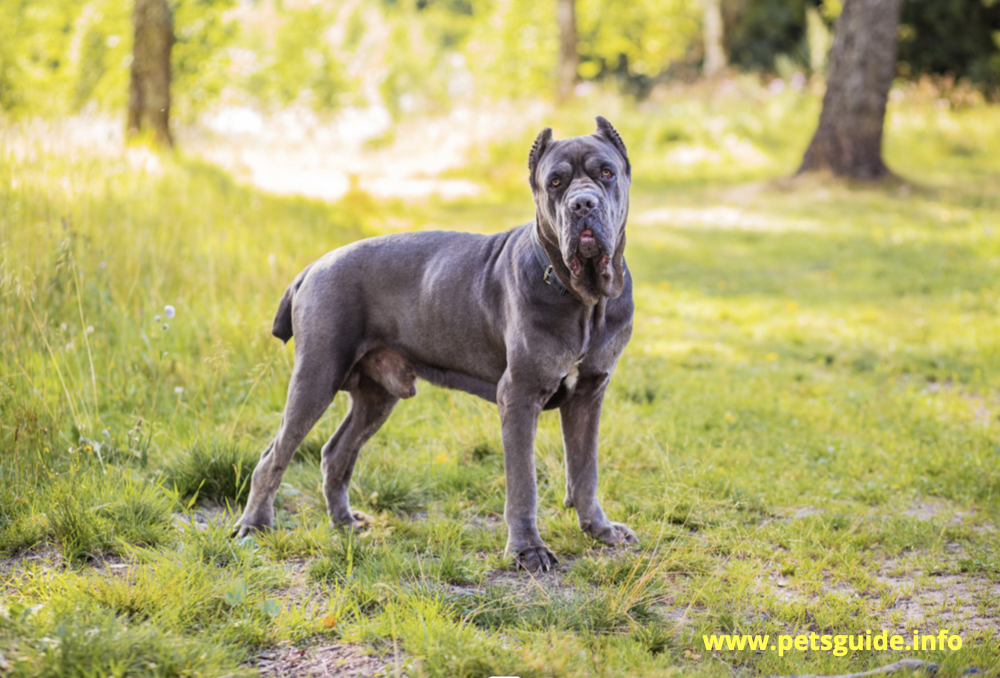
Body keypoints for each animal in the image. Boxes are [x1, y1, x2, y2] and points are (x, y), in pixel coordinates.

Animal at [234, 118, 636, 572]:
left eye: (606, 172)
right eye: (555, 182)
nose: (582, 204)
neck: (585, 298)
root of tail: (311, 267)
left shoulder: (589, 393)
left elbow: (586, 470)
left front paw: (600, 530)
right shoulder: (518, 395)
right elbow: (524, 482)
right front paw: (527, 549)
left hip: (377, 395)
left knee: (336, 453)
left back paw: (345, 523)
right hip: (316, 377)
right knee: (273, 456)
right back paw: (253, 526)